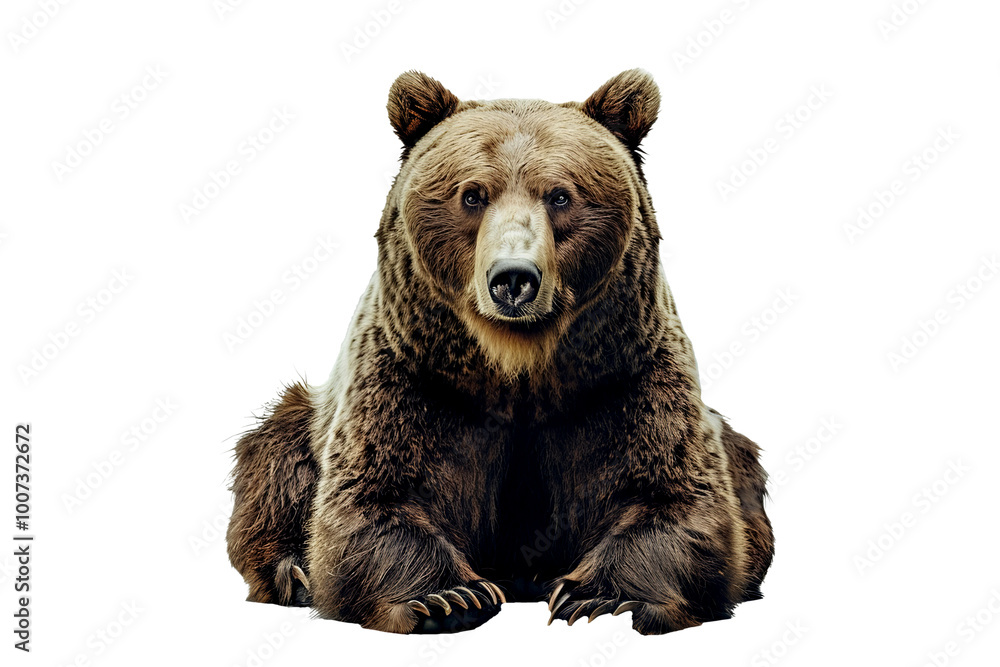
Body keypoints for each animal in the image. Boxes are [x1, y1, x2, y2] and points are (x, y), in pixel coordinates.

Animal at [226, 69, 774, 635]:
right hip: (305, 423)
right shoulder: (413, 375)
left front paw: (595, 595)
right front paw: (449, 596)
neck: (518, 363)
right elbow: (372, 499)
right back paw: (292, 571)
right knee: (275, 456)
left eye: (560, 195)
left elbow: (680, 499)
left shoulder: (624, 376)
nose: (513, 278)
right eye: (472, 195)